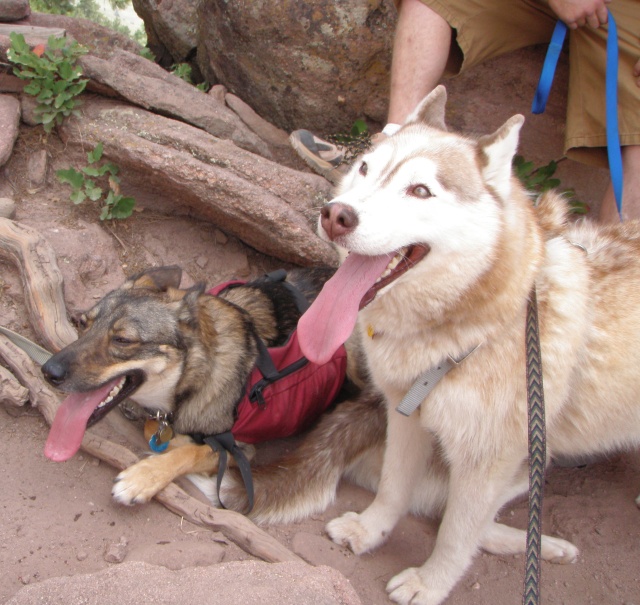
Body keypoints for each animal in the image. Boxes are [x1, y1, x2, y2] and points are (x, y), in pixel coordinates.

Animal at [298, 86, 640, 604]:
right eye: (365, 169)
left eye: (420, 191)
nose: (336, 215)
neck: (466, 330)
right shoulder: (407, 416)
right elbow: (394, 490)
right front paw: (371, 531)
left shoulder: (485, 460)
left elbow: (455, 535)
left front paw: (430, 583)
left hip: (524, 460)